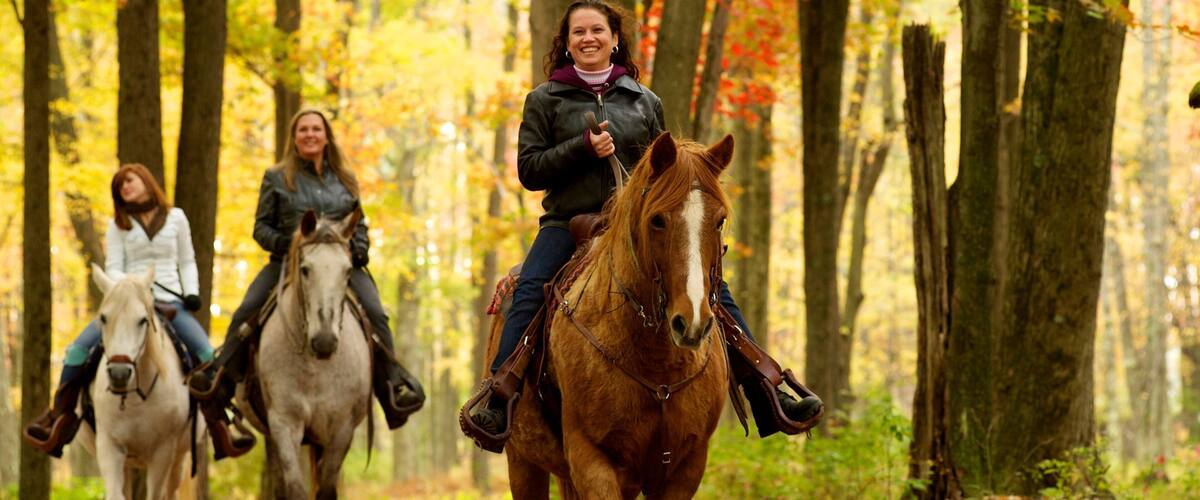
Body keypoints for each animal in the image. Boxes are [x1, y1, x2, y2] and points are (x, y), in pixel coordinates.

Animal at [76, 264, 198, 500]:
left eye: (143, 320)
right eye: (103, 318)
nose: (119, 374)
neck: (134, 398)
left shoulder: (163, 452)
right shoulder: (109, 447)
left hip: (178, 459)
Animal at [239, 210, 372, 500]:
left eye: (347, 271)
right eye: (305, 269)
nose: (324, 341)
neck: (315, 368)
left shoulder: (342, 429)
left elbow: (326, 490)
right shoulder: (284, 423)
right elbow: (295, 489)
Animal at [490, 132, 736, 499]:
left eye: (719, 221)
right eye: (657, 220)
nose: (691, 322)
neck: (656, 362)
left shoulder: (686, 467)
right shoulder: (591, 460)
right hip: (522, 461)